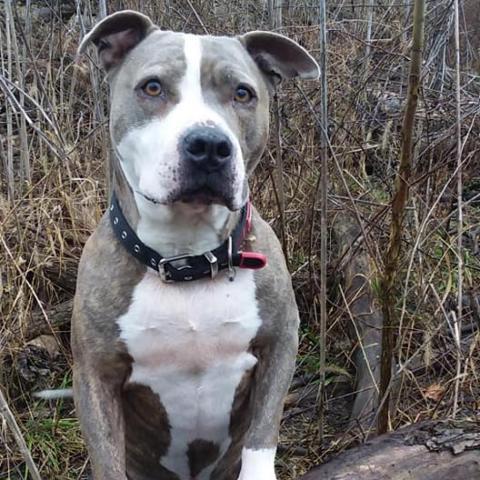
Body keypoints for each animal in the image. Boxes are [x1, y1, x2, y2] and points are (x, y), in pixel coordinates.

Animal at [72, 8, 318, 480]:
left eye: (242, 93)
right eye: (152, 87)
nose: (208, 145)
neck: (187, 260)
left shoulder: (281, 339)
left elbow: (264, 430)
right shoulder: (95, 372)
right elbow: (105, 455)